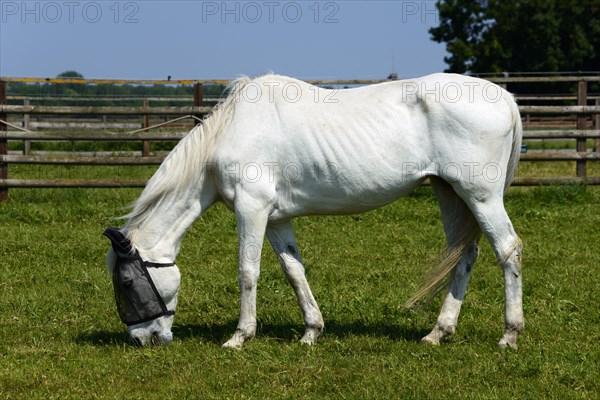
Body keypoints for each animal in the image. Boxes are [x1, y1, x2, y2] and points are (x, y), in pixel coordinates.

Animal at [104, 73, 524, 348]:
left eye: (126, 282)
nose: (142, 340)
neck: (233, 130)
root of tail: (505, 98)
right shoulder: (277, 219)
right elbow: (294, 270)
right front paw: (311, 331)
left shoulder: (251, 208)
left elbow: (247, 271)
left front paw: (240, 336)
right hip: (449, 192)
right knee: (465, 254)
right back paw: (438, 332)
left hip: (480, 196)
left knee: (508, 250)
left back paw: (509, 334)